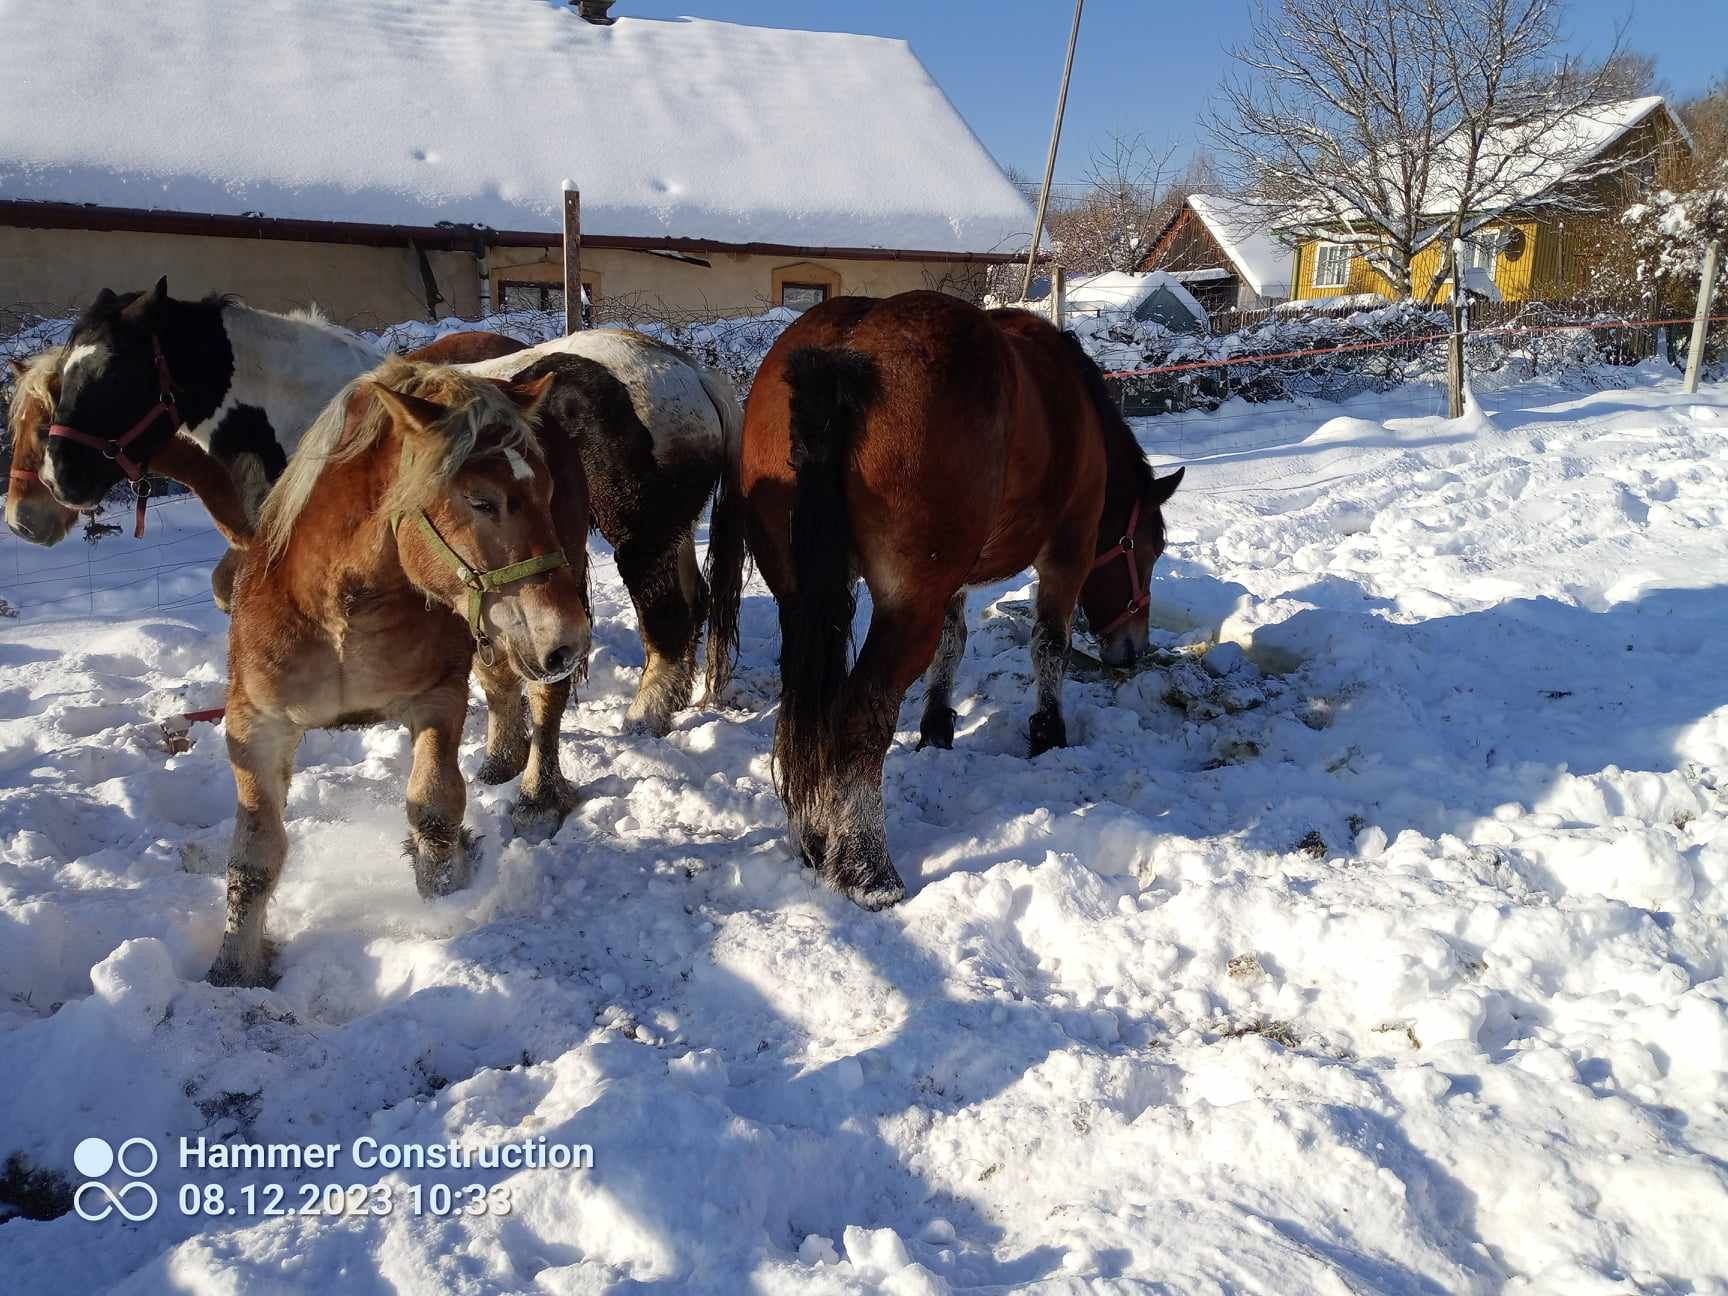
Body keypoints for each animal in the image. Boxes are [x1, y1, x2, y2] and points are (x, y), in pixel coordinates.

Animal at [206, 355, 587, 981]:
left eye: (547, 490)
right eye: (482, 501)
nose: (567, 641)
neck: (338, 608)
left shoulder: (436, 698)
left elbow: (434, 810)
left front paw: (442, 910)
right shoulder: (255, 726)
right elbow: (255, 852)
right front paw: (234, 970)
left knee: (542, 701)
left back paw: (535, 797)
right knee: (503, 683)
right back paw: (501, 760)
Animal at [456, 331, 739, 739]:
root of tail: (692, 375)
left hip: (640, 540)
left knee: (668, 619)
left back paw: (645, 715)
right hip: (673, 533)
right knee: (695, 600)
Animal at [708, 288, 1181, 905]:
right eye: (1150, 547)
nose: (1132, 649)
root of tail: (843, 353)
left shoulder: (952, 580)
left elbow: (952, 645)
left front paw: (937, 724)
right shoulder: (1069, 550)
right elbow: (1049, 644)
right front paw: (1048, 732)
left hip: (805, 597)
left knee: (807, 702)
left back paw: (814, 838)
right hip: (908, 607)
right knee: (860, 713)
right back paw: (868, 873)